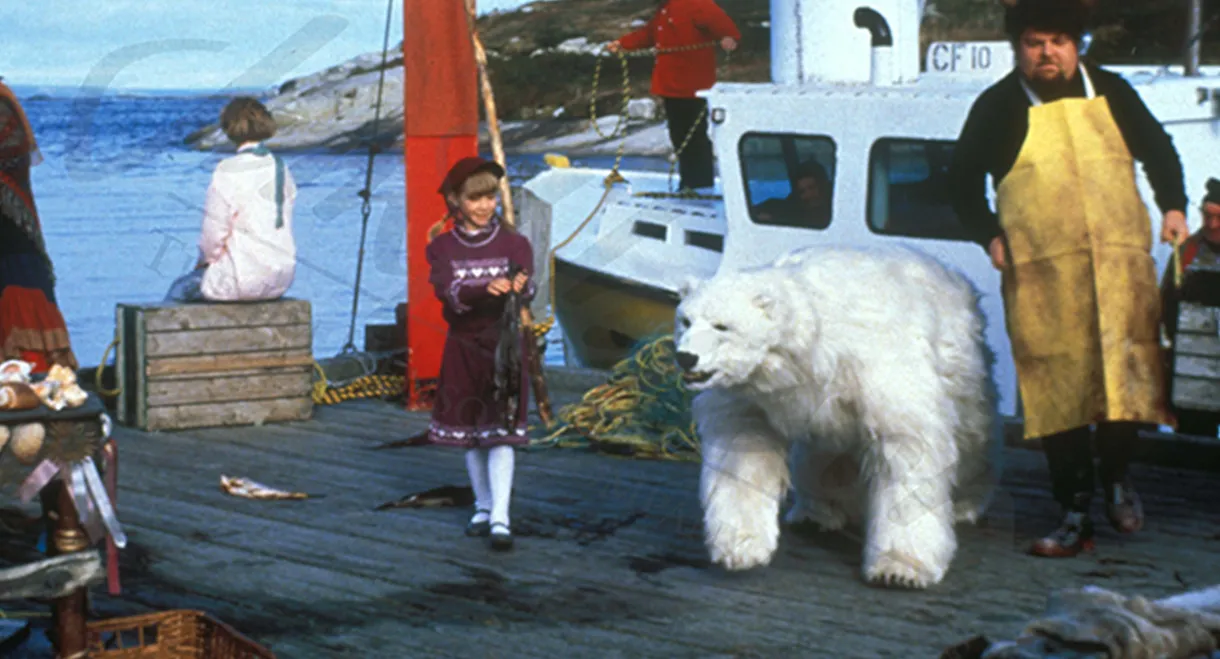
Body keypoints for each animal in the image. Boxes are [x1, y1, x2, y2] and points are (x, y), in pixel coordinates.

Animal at [678, 244, 1000, 590]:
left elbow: (905, 447)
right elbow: (744, 452)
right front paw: (741, 548)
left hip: (961, 366)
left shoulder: (875, 370)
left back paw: (967, 504)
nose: (686, 357)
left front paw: (899, 569)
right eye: (685, 320)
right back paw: (818, 513)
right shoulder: (750, 396)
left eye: (722, 326)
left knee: (972, 436)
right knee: (823, 460)